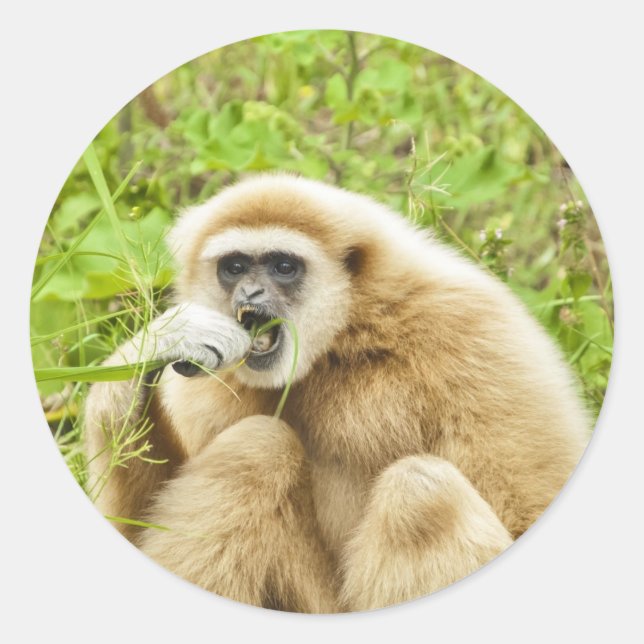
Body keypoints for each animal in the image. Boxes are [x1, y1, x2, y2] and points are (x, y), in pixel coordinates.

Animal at [84, 173, 590, 613]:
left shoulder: (473, 332)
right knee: (260, 447)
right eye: (234, 266)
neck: (343, 338)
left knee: (422, 494)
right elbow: (133, 526)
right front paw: (158, 344)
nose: (250, 292)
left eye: (284, 266)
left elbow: (525, 508)